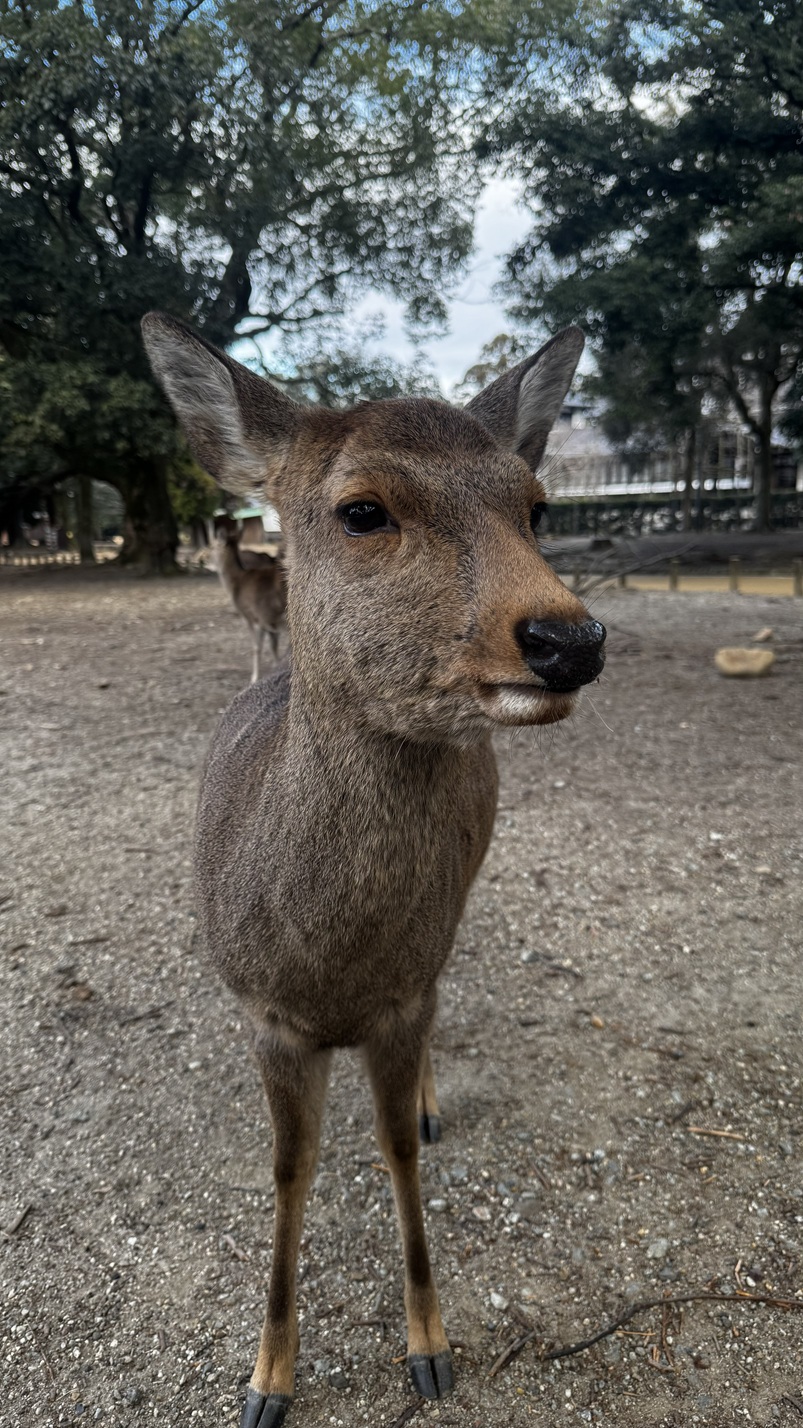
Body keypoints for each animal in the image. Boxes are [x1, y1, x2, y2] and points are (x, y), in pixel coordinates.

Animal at [215, 528, 287, 684]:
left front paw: (254, 678)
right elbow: (273, 646)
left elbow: (257, 646)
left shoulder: (252, 616)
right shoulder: (268, 621)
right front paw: (275, 666)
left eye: (212, 545)